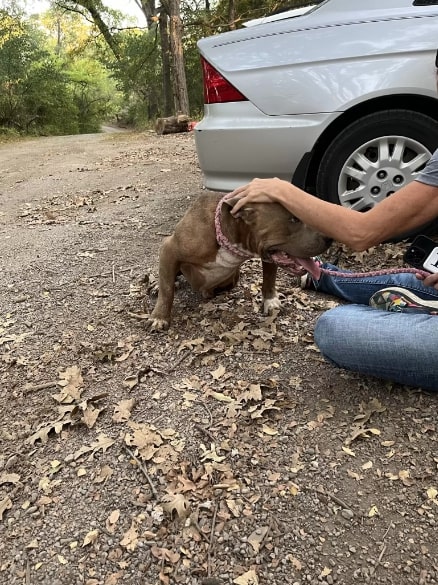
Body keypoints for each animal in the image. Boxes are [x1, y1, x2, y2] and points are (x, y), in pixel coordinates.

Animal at [145, 192, 330, 328]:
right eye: (293, 219)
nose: (329, 237)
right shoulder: (169, 248)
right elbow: (167, 289)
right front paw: (159, 316)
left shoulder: (267, 255)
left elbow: (269, 279)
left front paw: (270, 301)